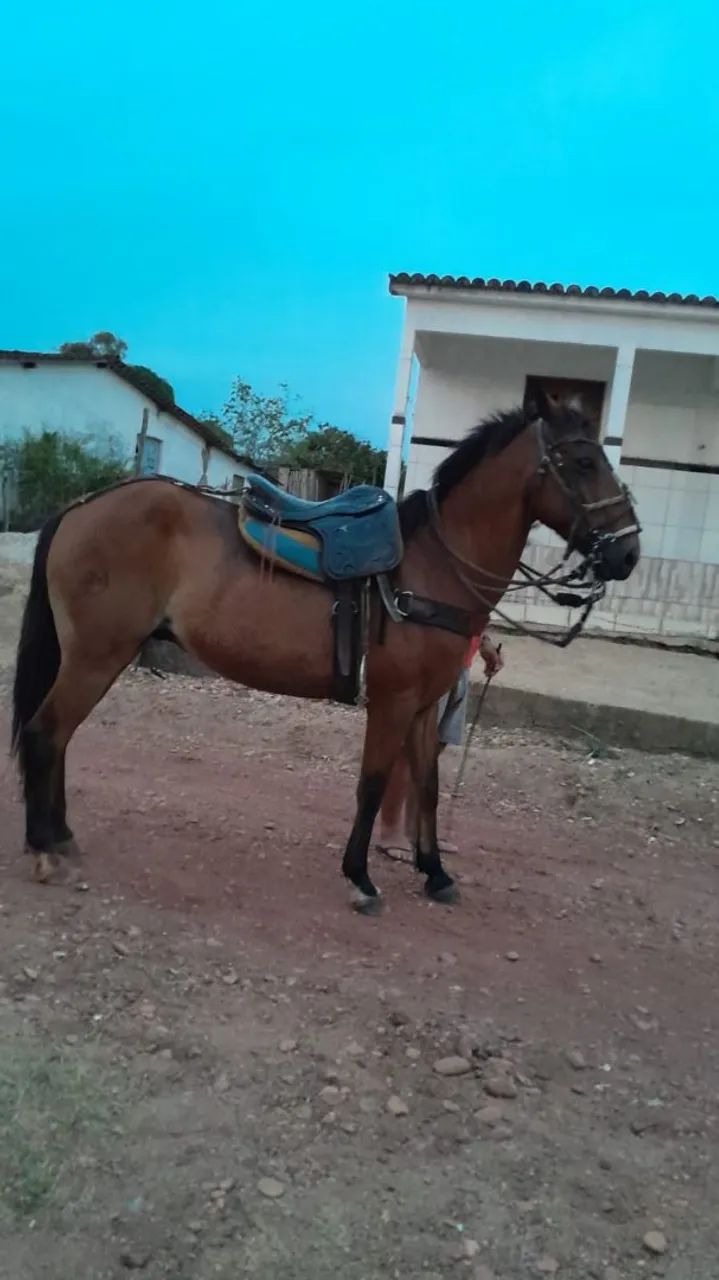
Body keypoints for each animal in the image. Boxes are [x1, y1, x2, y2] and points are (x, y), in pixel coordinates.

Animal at [11, 391, 640, 907]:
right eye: (584, 463)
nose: (627, 553)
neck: (434, 565)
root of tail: (80, 506)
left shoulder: (423, 706)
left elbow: (428, 788)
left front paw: (434, 873)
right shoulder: (392, 700)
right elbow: (373, 784)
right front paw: (360, 877)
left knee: (59, 737)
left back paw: (61, 839)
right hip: (96, 655)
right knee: (47, 733)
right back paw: (43, 848)